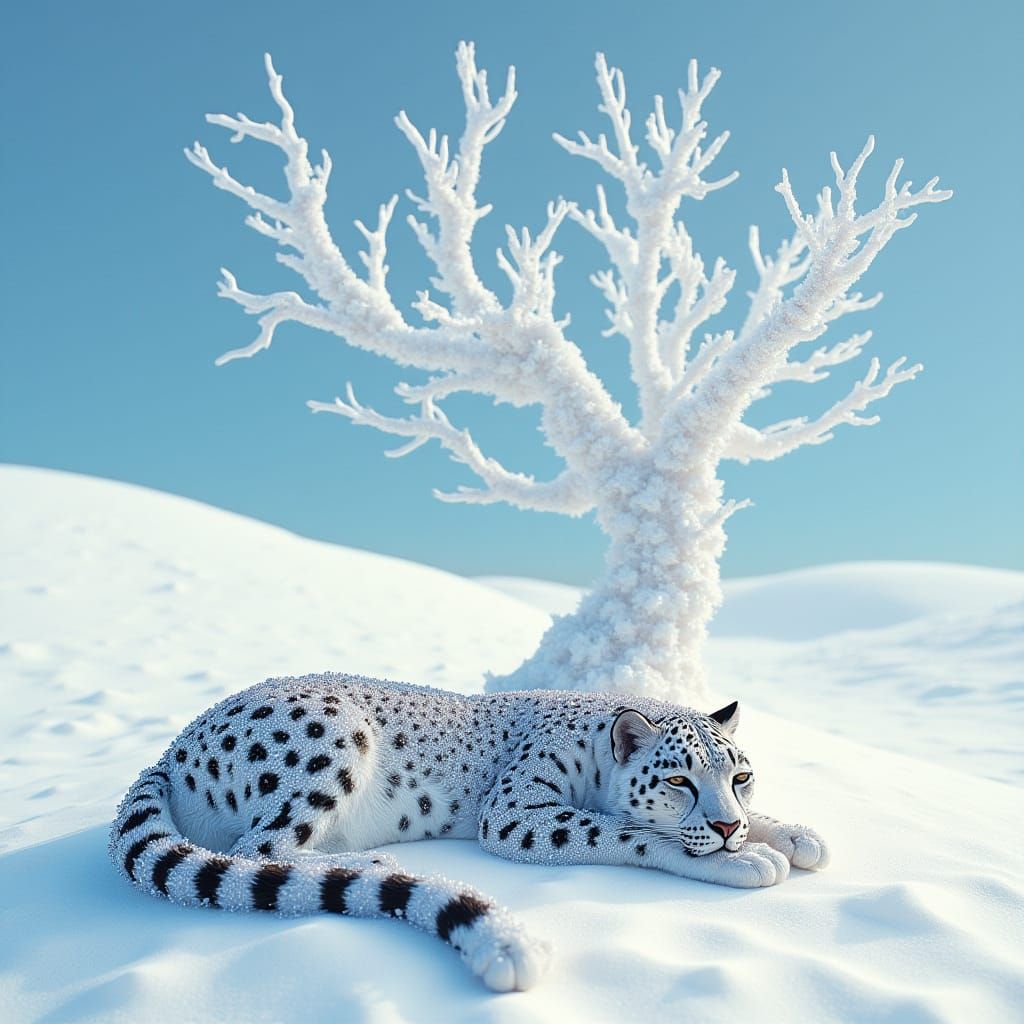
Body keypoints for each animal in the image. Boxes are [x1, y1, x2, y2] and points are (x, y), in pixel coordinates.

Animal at [109, 673, 830, 992]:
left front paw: (795, 835)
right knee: (262, 851)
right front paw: (742, 860)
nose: (728, 824)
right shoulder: (513, 812)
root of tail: (172, 748)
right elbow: (623, 830)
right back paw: (381, 873)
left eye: (741, 777)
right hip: (330, 741)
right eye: (679, 779)